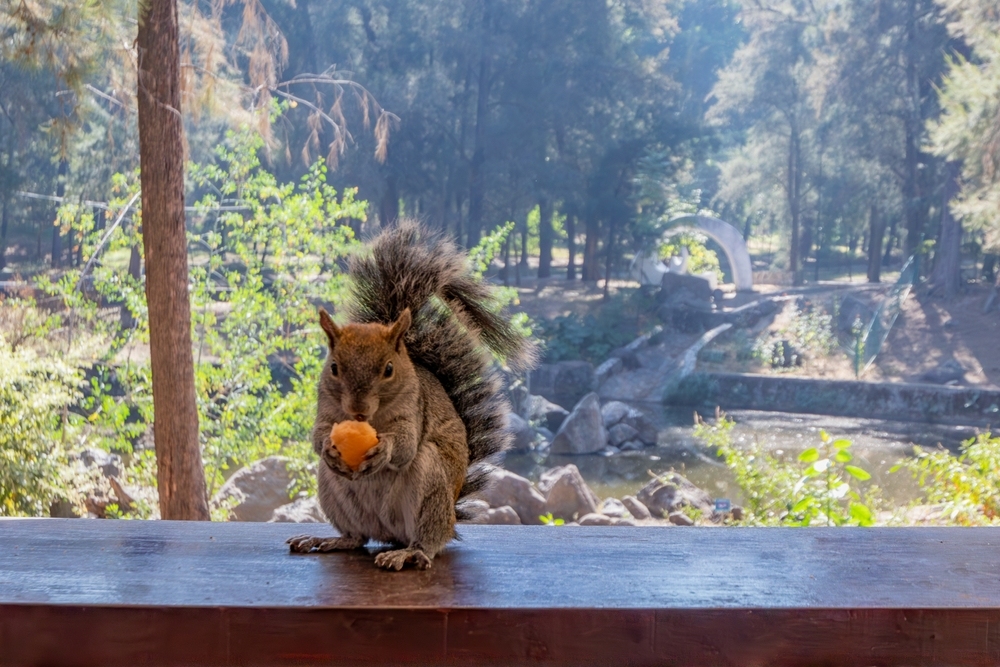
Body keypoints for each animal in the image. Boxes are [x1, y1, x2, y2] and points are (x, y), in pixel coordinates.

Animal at [287, 221, 536, 570]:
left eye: (389, 369)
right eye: (334, 367)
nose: (358, 409)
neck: (373, 418)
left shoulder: (414, 410)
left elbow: (404, 444)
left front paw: (385, 449)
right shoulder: (326, 407)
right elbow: (318, 434)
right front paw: (327, 447)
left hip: (429, 489)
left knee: (426, 541)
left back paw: (409, 553)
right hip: (333, 491)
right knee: (356, 538)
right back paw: (328, 539)